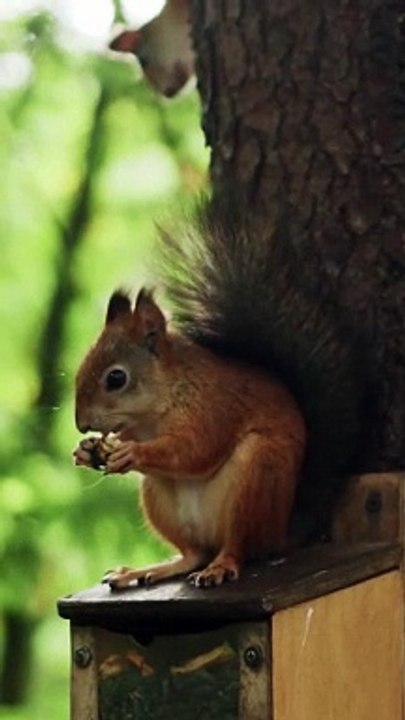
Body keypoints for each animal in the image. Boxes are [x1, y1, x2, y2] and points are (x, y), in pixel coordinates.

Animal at [73, 199, 365, 589]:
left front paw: (132, 453)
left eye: (116, 378)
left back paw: (221, 566)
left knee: (237, 547)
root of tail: (281, 531)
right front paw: (88, 451)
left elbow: (196, 449)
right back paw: (150, 569)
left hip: (257, 475)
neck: (160, 405)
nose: (80, 424)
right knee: (194, 553)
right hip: (157, 496)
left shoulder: (215, 408)